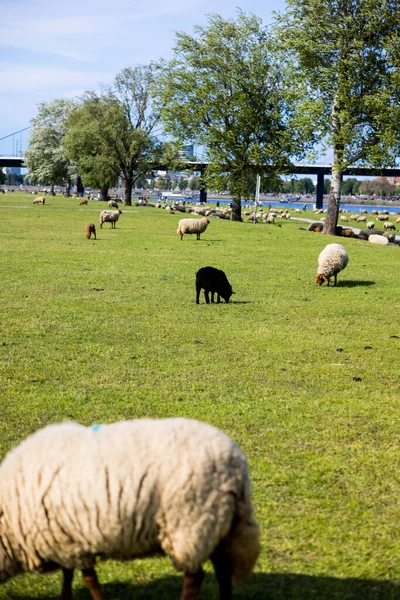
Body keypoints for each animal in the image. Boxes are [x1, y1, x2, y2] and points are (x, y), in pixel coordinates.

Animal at [0, 418, 260, 600]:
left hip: (190, 524)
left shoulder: (70, 543)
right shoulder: (68, 542)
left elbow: (88, 579)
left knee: (195, 577)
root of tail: (237, 464)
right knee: (223, 569)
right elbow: (70, 577)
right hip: (216, 521)